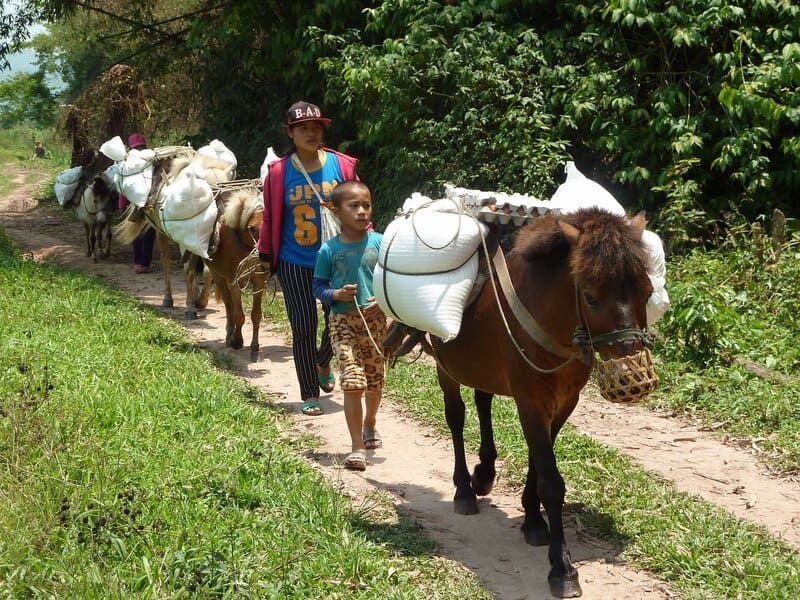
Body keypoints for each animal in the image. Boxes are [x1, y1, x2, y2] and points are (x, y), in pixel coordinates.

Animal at [386, 206, 656, 596]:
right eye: (591, 297)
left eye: (647, 293)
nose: (633, 369)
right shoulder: (531, 401)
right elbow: (551, 482)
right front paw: (562, 568)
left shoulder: (564, 403)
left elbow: (536, 464)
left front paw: (532, 520)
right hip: (445, 367)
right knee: (456, 417)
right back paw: (464, 489)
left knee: (482, 400)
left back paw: (484, 473)